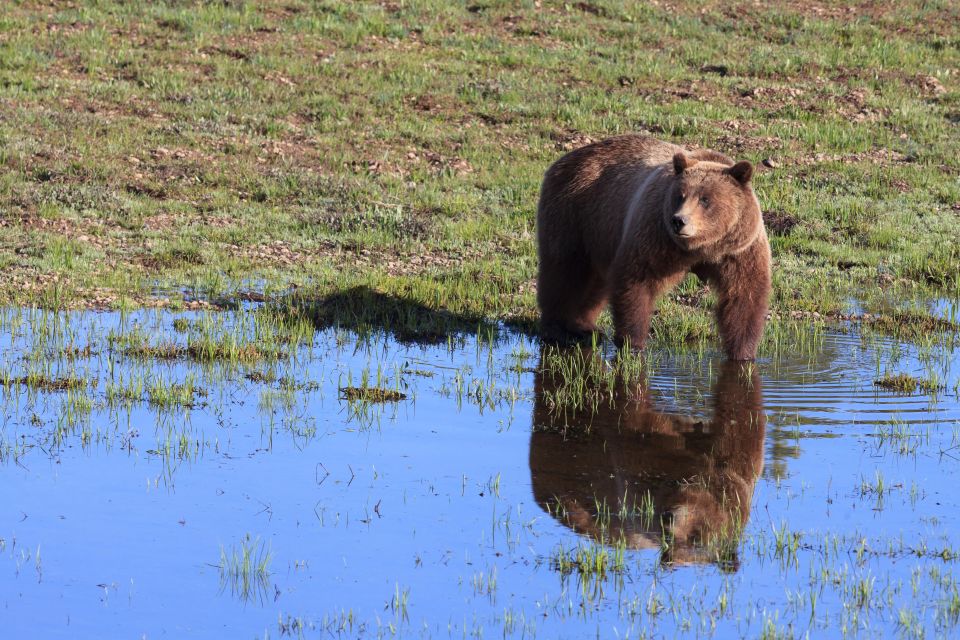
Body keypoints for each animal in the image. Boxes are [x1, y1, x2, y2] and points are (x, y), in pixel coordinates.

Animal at [536, 134, 776, 360]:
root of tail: (567, 158)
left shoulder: (739, 251)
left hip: (599, 234)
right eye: (680, 195)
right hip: (573, 213)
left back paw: (584, 326)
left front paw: (743, 353)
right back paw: (560, 329)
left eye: (705, 199)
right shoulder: (655, 237)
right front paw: (632, 344)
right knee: (564, 272)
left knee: (594, 282)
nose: (679, 221)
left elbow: (743, 298)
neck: (702, 249)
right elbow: (635, 282)